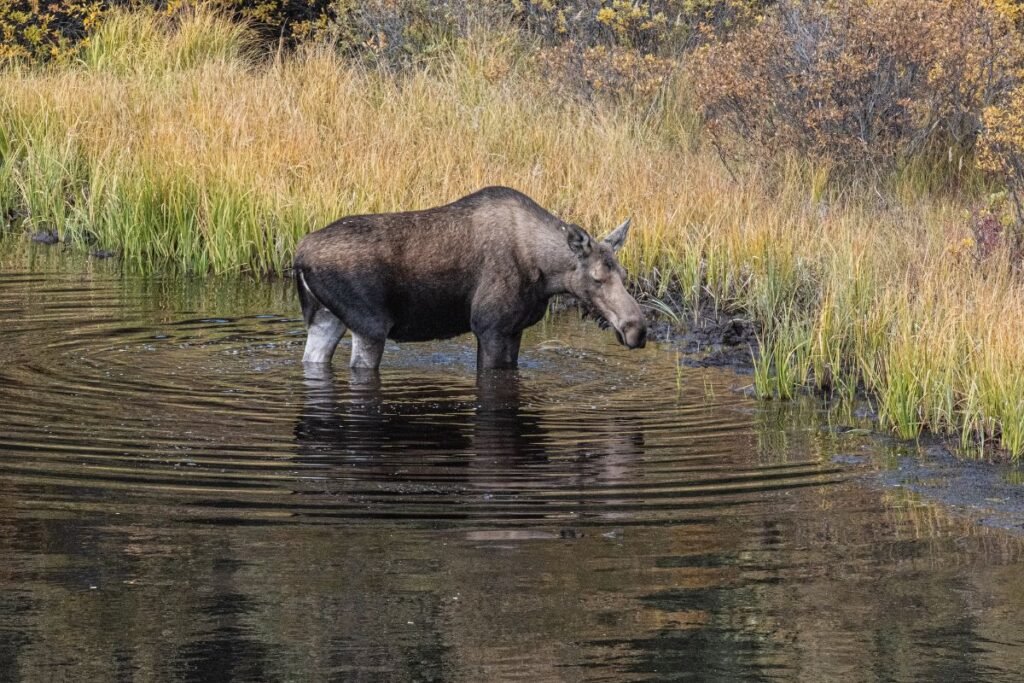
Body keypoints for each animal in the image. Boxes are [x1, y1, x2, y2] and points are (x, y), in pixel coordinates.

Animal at [294, 184, 647, 370]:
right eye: (598, 279)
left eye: (624, 274)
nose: (638, 329)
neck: (545, 276)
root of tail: (299, 256)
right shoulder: (489, 327)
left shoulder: (514, 329)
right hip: (370, 324)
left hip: (326, 318)